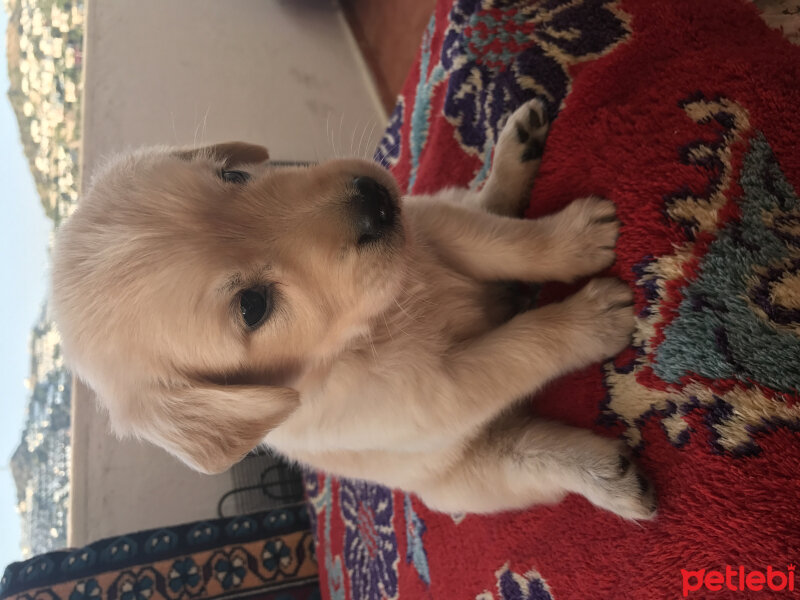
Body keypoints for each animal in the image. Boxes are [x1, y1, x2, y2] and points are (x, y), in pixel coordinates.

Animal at [53, 99, 656, 520]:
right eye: (253, 306)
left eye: (234, 174)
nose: (375, 198)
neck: (379, 316)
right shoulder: (437, 391)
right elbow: (524, 343)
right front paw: (592, 317)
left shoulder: (430, 227)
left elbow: (506, 242)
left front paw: (572, 240)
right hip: (467, 481)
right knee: (533, 461)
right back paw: (615, 481)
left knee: (481, 203)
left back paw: (517, 151)